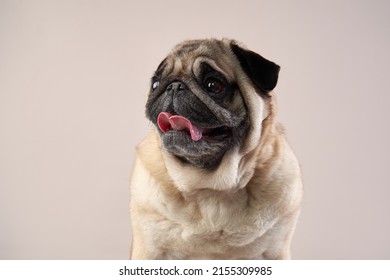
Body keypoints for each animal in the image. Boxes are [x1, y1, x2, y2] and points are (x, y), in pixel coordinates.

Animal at [129, 38, 304, 260]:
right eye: (155, 84)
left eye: (213, 85)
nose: (174, 85)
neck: (208, 186)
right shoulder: (149, 250)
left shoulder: (275, 251)